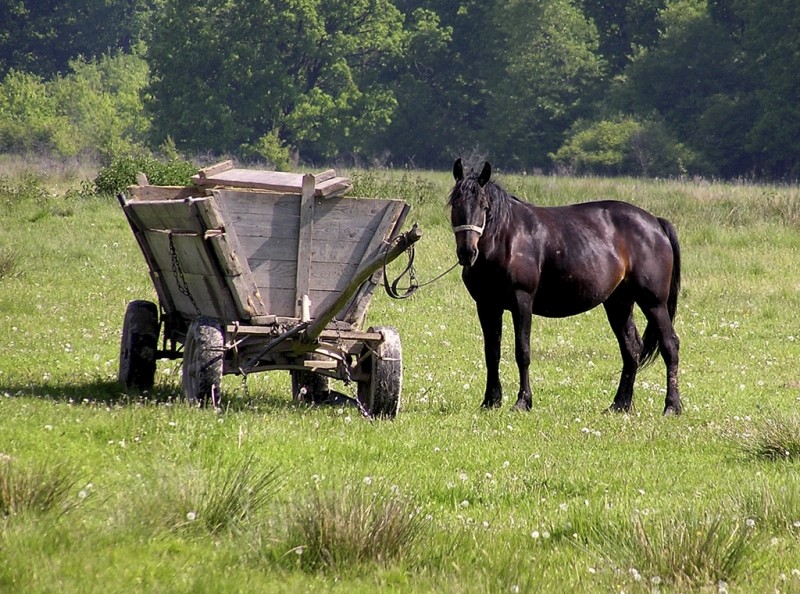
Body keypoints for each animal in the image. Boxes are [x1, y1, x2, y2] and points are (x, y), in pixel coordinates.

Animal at [450, 160, 680, 414]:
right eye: (454, 204)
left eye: (484, 206)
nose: (467, 253)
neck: (507, 239)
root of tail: (656, 223)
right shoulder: (487, 305)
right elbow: (492, 352)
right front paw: (490, 401)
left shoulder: (522, 301)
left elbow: (523, 352)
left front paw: (523, 401)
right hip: (618, 303)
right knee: (632, 349)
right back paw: (620, 405)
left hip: (653, 302)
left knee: (670, 345)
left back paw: (672, 406)